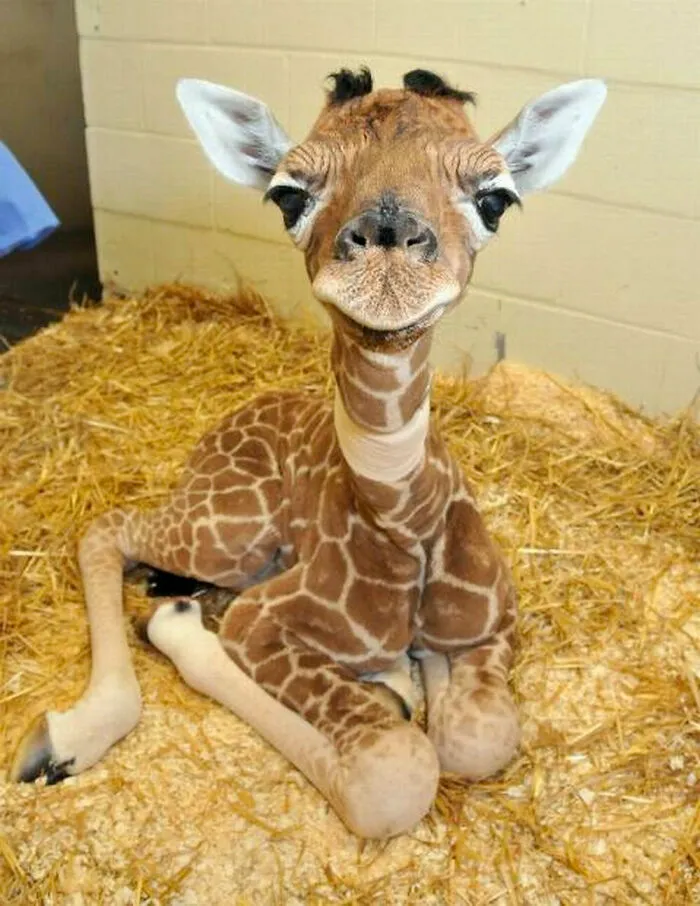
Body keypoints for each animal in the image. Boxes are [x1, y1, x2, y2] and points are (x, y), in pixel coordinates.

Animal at [11, 68, 606, 839]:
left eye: (494, 198)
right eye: (288, 194)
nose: (388, 248)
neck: (404, 523)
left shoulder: (496, 620)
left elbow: (475, 736)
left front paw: (416, 679)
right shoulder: (260, 622)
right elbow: (396, 773)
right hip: (229, 534)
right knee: (107, 527)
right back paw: (72, 732)